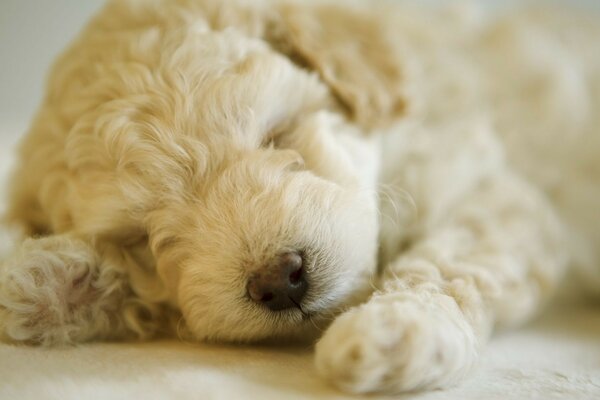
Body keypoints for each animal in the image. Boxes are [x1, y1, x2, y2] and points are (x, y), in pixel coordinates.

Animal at [0, 0, 596, 394]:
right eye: (138, 237)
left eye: (278, 133)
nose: (279, 279)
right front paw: (45, 282)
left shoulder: (494, 195)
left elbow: (451, 260)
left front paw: (397, 329)